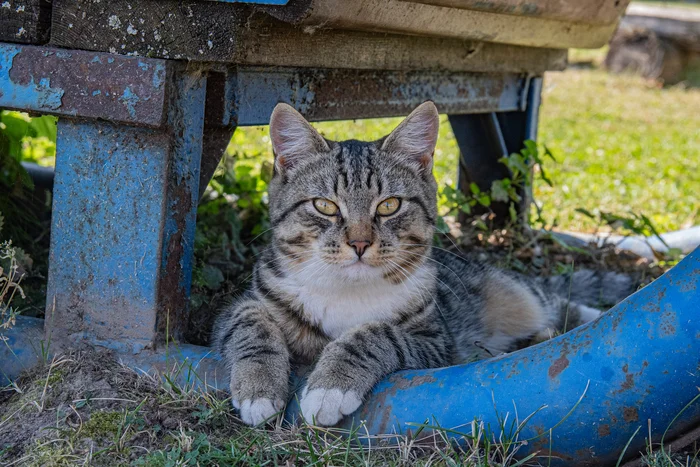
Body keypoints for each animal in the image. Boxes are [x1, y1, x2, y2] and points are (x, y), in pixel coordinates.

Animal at [211, 102, 632, 428]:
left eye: (389, 205)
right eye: (325, 206)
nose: (359, 243)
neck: (348, 290)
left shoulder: (435, 340)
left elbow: (375, 333)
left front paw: (330, 386)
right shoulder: (247, 300)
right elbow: (249, 323)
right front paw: (259, 390)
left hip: (518, 294)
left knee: (555, 301)